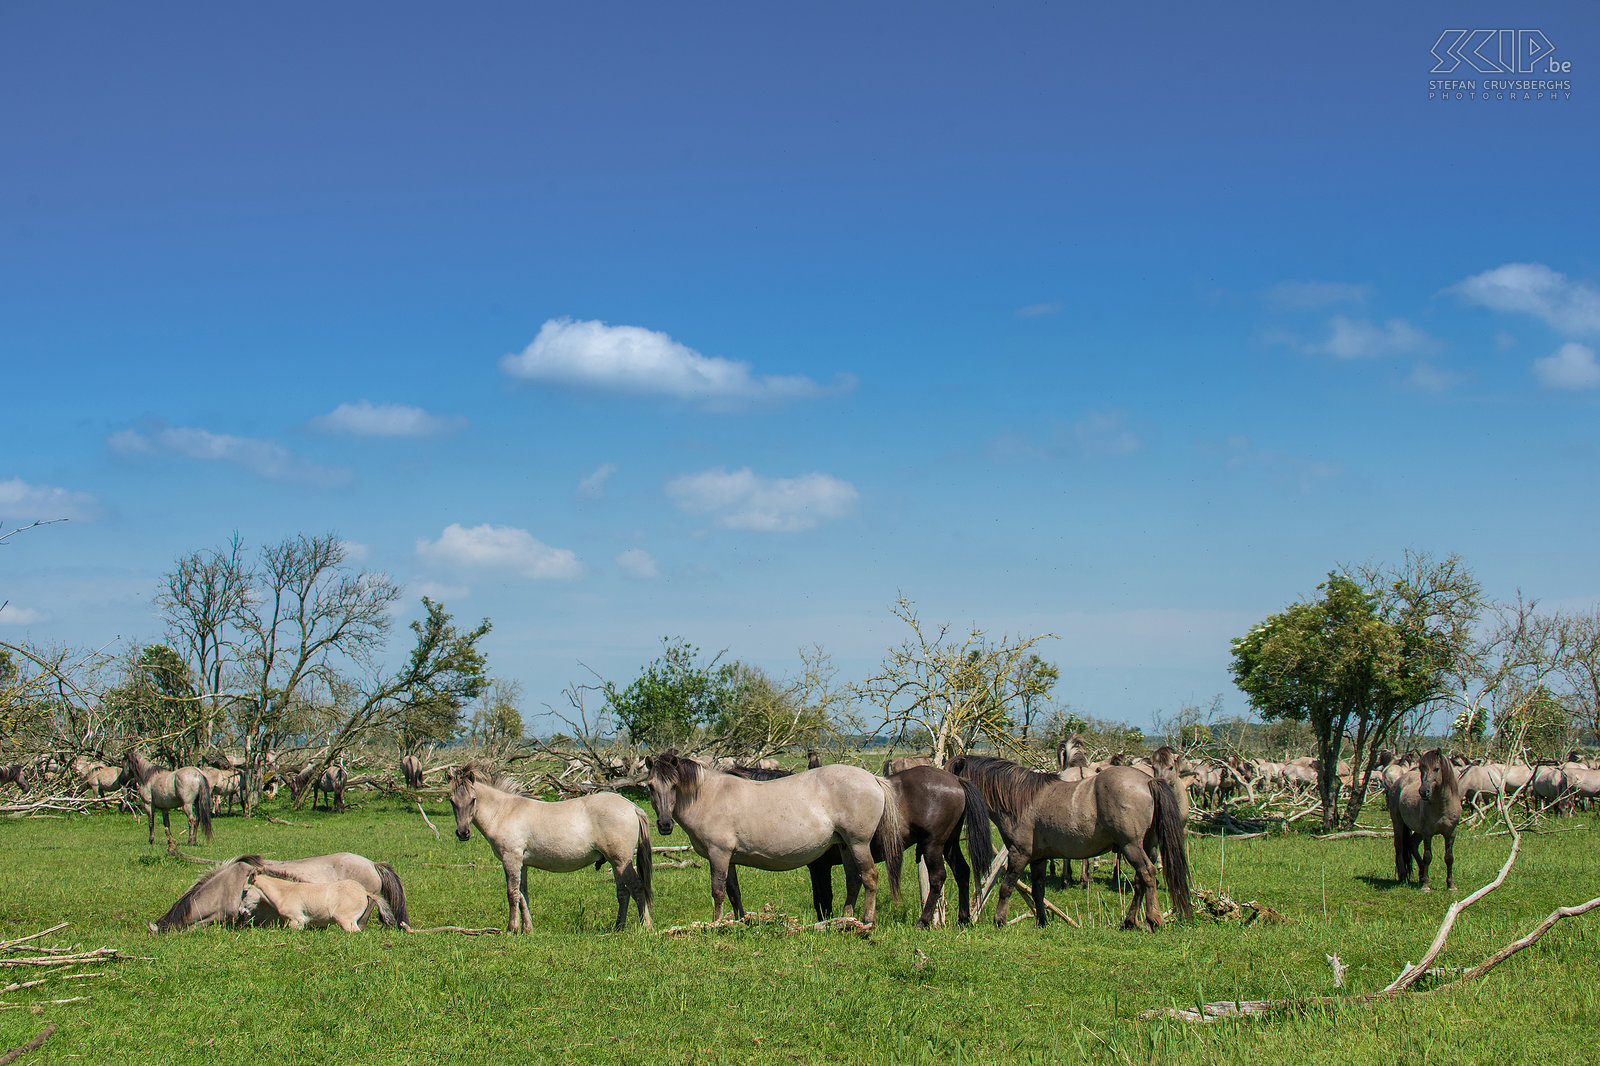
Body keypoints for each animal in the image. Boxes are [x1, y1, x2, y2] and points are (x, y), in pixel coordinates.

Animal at [448, 758, 652, 928]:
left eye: (473, 800)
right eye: (452, 801)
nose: (463, 833)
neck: (505, 812)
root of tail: (632, 806)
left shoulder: (510, 859)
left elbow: (512, 893)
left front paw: (512, 928)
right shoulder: (522, 864)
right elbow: (523, 895)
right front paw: (528, 929)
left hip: (621, 860)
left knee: (636, 887)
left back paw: (646, 927)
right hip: (615, 861)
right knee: (623, 893)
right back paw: (618, 928)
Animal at [646, 745, 902, 921]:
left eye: (674, 786)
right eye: (650, 786)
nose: (665, 825)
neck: (710, 796)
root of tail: (873, 779)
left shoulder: (718, 854)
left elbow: (718, 891)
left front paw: (715, 923)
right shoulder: (729, 857)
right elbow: (734, 892)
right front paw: (739, 922)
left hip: (858, 843)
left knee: (869, 877)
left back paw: (867, 920)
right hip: (845, 845)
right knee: (853, 880)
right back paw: (845, 918)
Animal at [940, 752, 1196, 928]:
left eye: (951, 773)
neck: (1020, 799)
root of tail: (1147, 781)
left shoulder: (1019, 853)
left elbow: (1006, 887)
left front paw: (999, 920)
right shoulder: (1038, 858)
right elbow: (1038, 890)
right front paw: (1042, 921)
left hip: (1131, 846)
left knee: (1148, 874)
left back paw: (1153, 920)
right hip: (1146, 846)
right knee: (1141, 881)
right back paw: (1129, 921)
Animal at [1388, 745, 1465, 889]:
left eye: (1436, 769)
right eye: (1421, 769)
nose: (1424, 792)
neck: (1443, 806)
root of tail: (1399, 780)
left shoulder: (1451, 833)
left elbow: (1449, 857)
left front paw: (1451, 885)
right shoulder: (1428, 833)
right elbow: (1428, 856)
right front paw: (1426, 886)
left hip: (1418, 831)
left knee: (1412, 844)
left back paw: (1421, 874)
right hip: (1398, 822)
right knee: (1399, 846)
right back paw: (1404, 877)